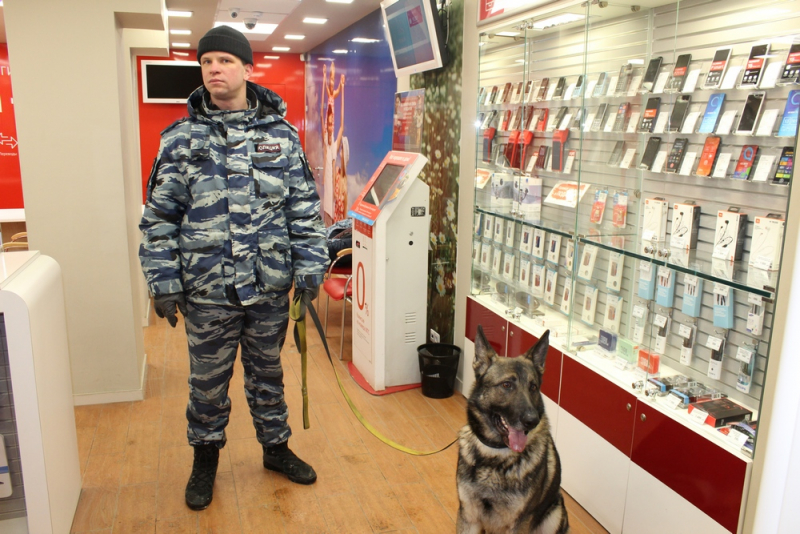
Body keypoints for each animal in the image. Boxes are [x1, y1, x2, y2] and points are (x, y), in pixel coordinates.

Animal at [456, 326, 568, 534]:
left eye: (533, 387)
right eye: (507, 385)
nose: (532, 420)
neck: (496, 455)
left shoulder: (518, 524)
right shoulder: (468, 517)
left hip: (554, 515)